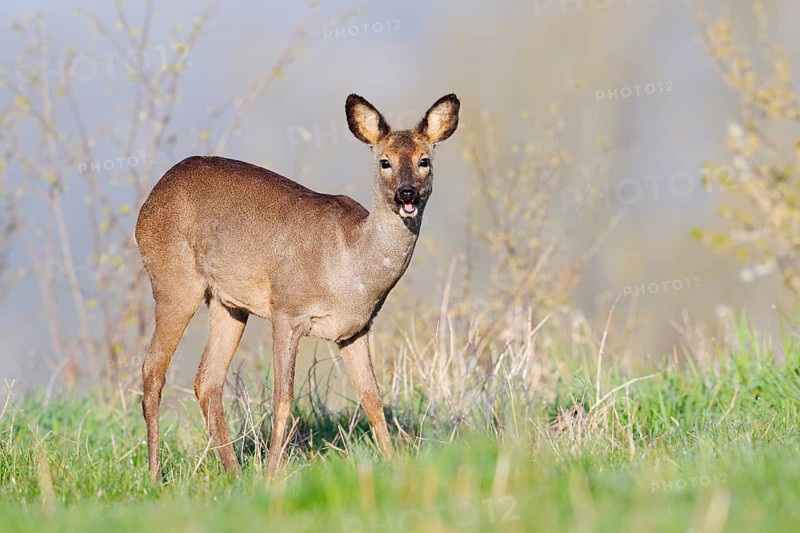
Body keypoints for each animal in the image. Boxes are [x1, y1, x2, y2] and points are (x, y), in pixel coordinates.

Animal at [134, 93, 460, 481]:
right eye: (385, 161)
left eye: (425, 160)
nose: (406, 194)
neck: (351, 267)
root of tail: (150, 200)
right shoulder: (286, 310)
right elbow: (284, 398)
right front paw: (271, 475)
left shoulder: (356, 329)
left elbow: (372, 399)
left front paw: (395, 466)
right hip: (175, 281)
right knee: (153, 370)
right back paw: (155, 475)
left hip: (229, 304)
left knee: (207, 381)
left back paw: (234, 474)